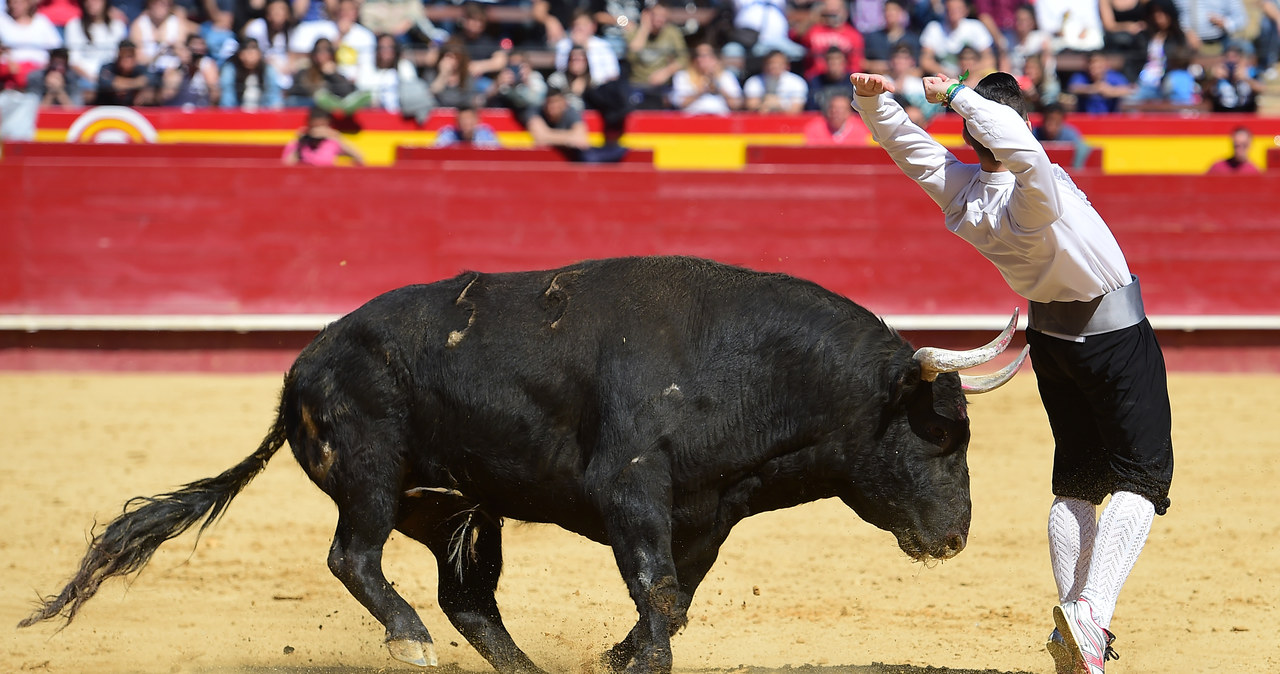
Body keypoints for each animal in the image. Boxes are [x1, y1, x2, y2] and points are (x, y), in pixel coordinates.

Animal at [17, 255, 1029, 670]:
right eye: (937, 436)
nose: (954, 537)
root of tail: (303, 364)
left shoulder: (703, 511)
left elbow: (674, 595)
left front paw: (619, 657)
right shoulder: (632, 491)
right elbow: (660, 592)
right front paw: (639, 661)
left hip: (457, 509)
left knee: (468, 596)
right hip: (373, 475)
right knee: (356, 559)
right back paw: (410, 643)